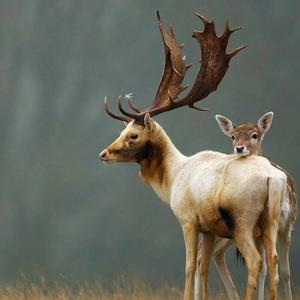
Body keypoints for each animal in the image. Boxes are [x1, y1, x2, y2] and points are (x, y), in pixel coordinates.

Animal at [195, 113, 296, 300]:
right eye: (233, 136)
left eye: (254, 135)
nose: (239, 148)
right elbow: (266, 268)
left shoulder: (287, 225)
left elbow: (283, 271)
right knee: (203, 254)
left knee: (214, 254)